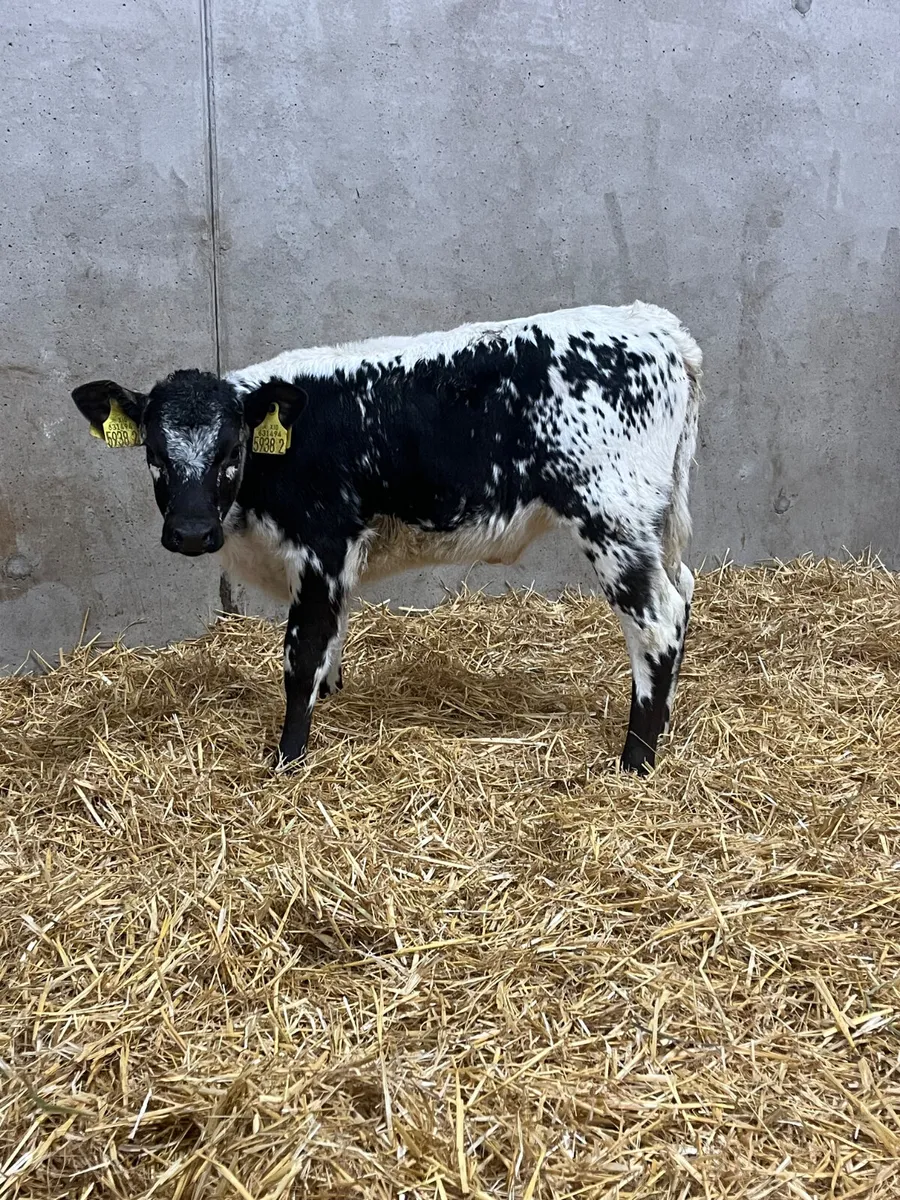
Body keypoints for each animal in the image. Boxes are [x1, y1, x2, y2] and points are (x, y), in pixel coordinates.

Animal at [71, 301, 703, 775]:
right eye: (155, 456)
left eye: (231, 452)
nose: (191, 532)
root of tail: (656, 326)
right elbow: (331, 640)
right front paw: (331, 700)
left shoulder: (322, 545)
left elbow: (302, 652)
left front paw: (287, 758)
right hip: (654, 521)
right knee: (684, 589)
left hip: (612, 517)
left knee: (658, 620)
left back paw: (636, 760)